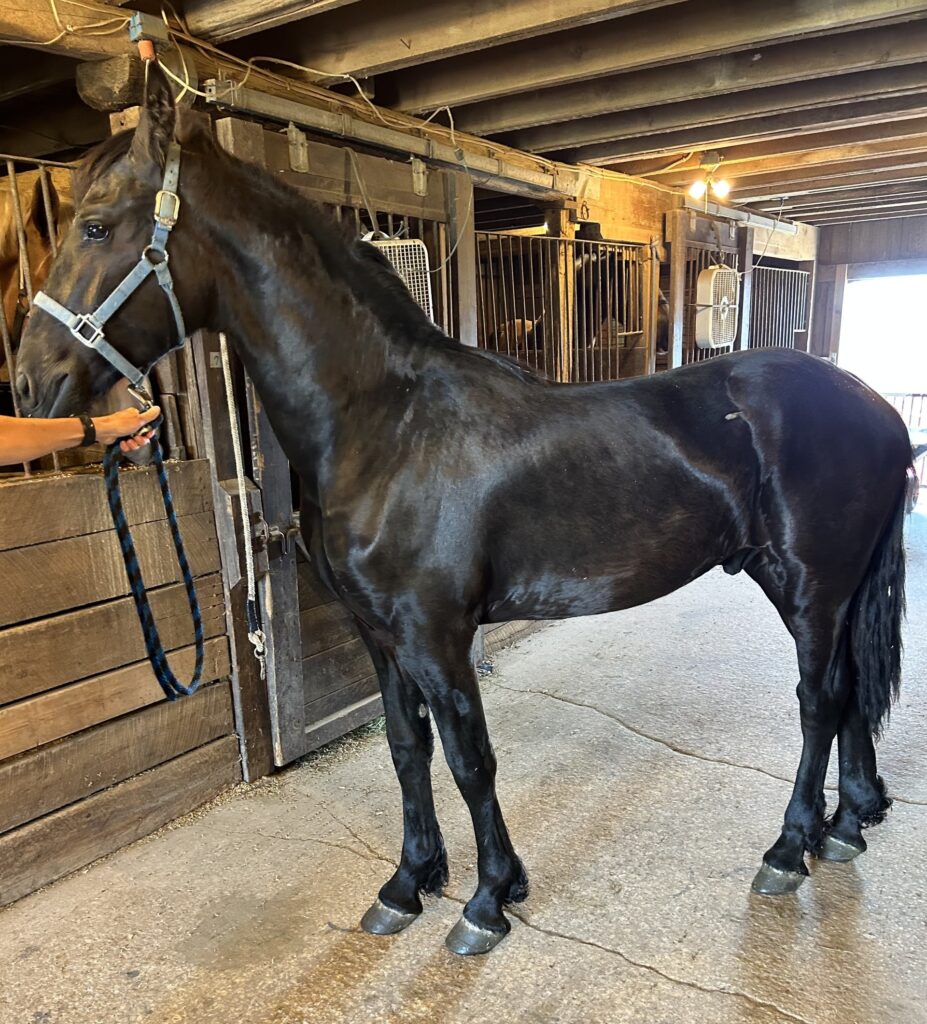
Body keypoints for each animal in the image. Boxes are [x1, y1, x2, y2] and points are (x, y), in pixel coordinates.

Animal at [16, 66, 912, 956]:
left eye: (95, 226)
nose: (31, 384)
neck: (385, 424)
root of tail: (876, 408)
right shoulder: (378, 634)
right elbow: (407, 749)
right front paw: (407, 884)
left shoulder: (436, 632)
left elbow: (468, 757)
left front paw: (486, 900)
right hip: (812, 585)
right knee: (848, 693)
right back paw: (844, 825)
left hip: (810, 586)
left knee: (819, 699)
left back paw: (787, 849)